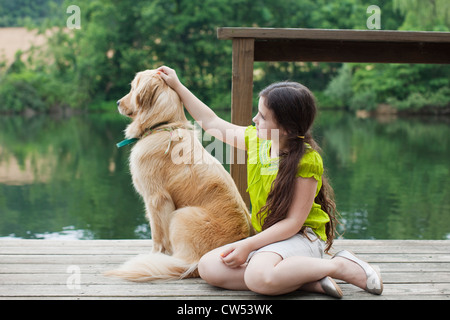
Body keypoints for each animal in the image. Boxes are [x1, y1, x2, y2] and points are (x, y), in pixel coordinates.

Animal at [105, 69, 253, 280]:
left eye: (132, 88)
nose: (117, 102)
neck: (162, 125)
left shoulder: (157, 198)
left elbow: (158, 236)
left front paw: (155, 254)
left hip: (181, 215)